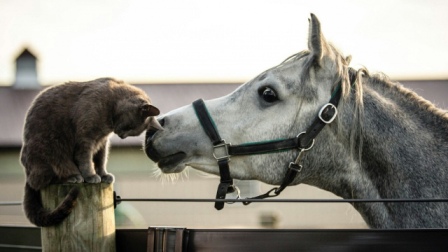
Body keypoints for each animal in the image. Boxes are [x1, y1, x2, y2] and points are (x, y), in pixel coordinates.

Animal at [20, 77, 163, 226]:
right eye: (130, 127)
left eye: (132, 132)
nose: (122, 136)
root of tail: (27, 174)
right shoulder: (86, 138)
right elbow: (86, 160)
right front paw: (91, 176)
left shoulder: (102, 142)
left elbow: (101, 160)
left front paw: (103, 175)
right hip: (50, 149)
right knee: (42, 180)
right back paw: (73, 177)